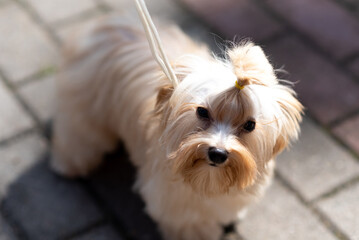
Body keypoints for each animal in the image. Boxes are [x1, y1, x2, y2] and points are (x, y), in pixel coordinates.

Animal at [50, 15, 304, 240]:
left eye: (250, 125)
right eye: (202, 112)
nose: (218, 153)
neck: (209, 179)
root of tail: (109, 21)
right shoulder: (174, 201)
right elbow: (188, 223)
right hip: (87, 105)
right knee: (80, 133)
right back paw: (72, 164)